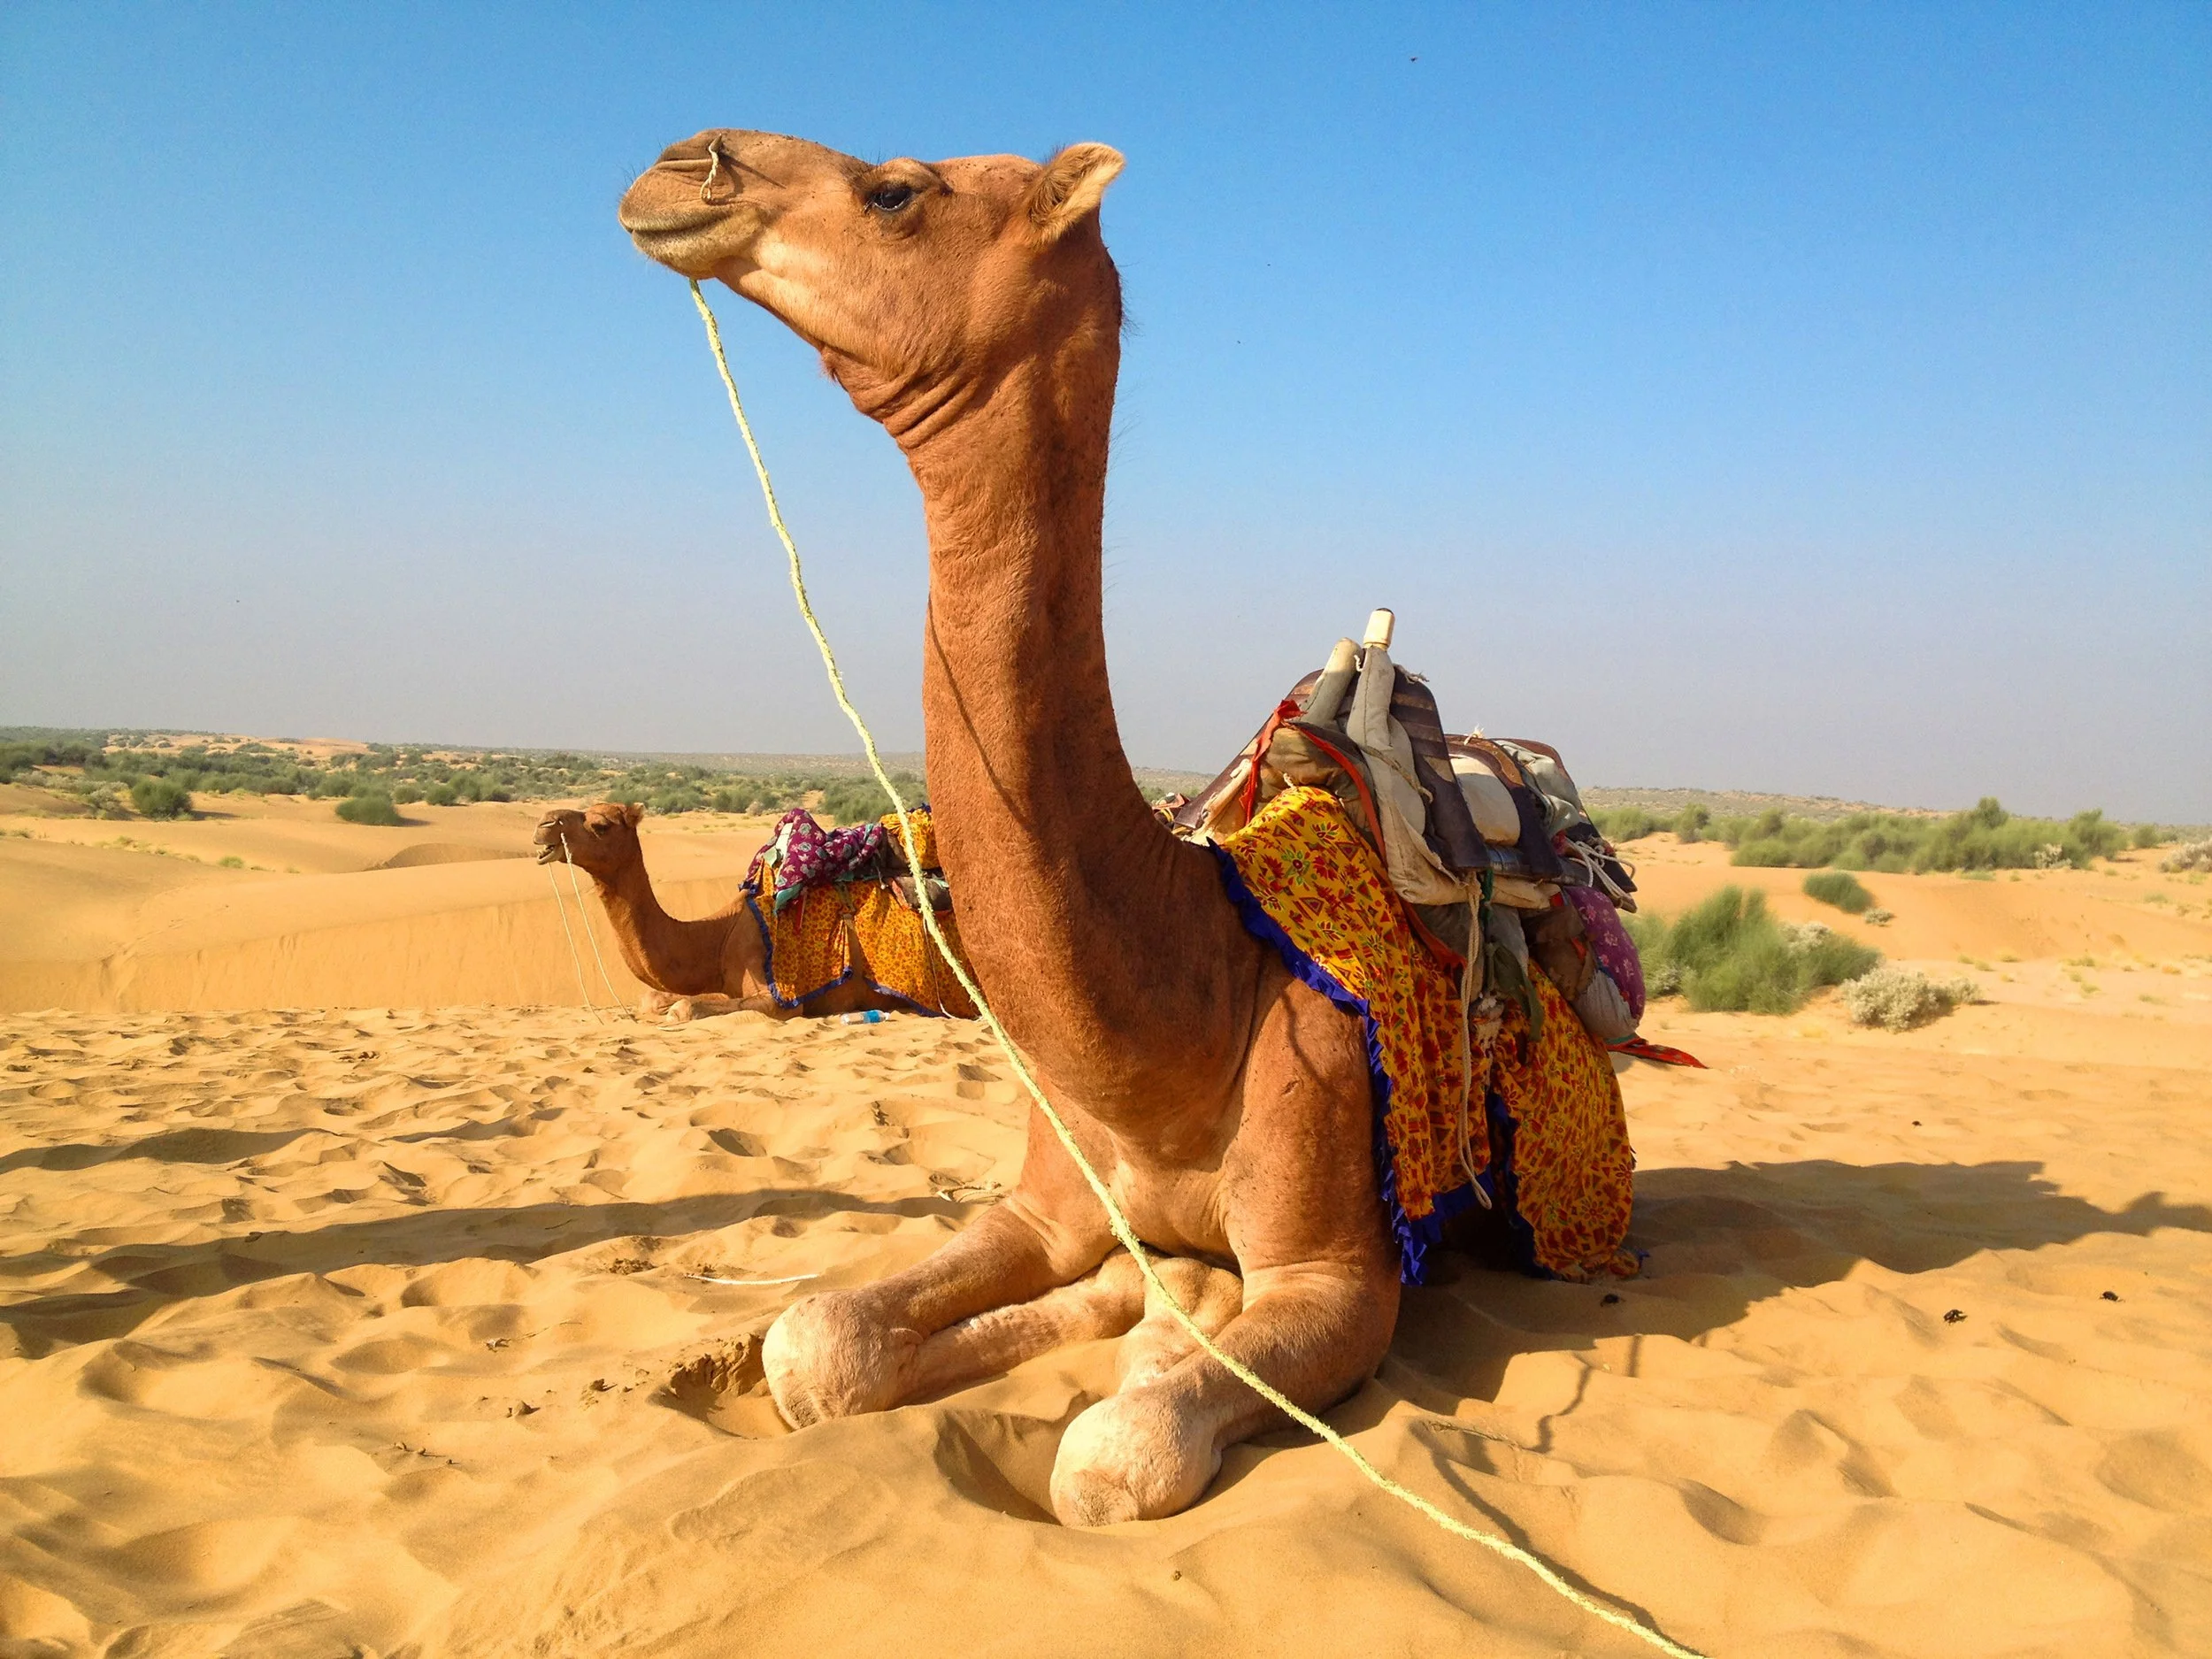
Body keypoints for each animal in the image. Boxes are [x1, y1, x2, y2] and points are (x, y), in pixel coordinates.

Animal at [532, 801, 919, 1022]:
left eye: (601, 825)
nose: (544, 824)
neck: (718, 937)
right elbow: (653, 999)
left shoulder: (783, 996)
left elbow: (684, 1008)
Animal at [620, 132, 1401, 1527]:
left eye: (894, 189)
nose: (676, 164)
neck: (1188, 994)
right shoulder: (1040, 1198)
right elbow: (813, 1344)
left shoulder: (1342, 1270)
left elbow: (1110, 1459)